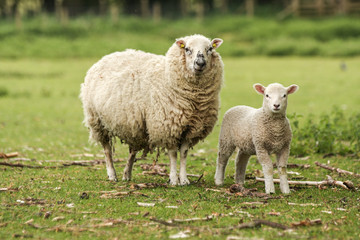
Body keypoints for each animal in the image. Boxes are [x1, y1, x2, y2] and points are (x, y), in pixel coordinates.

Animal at [80, 33, 224, 186]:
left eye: (210, 49)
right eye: (187, 49)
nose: (200, 63)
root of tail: (107, 56)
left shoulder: (191, 128)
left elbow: (184, 153)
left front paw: (184, 179)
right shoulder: (168, 126)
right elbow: (173, 154)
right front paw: (174, 180)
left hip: (136, 127)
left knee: (132, 151)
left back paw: (127, 174)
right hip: (97, 121)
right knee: (107, 149)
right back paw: (112, 175)